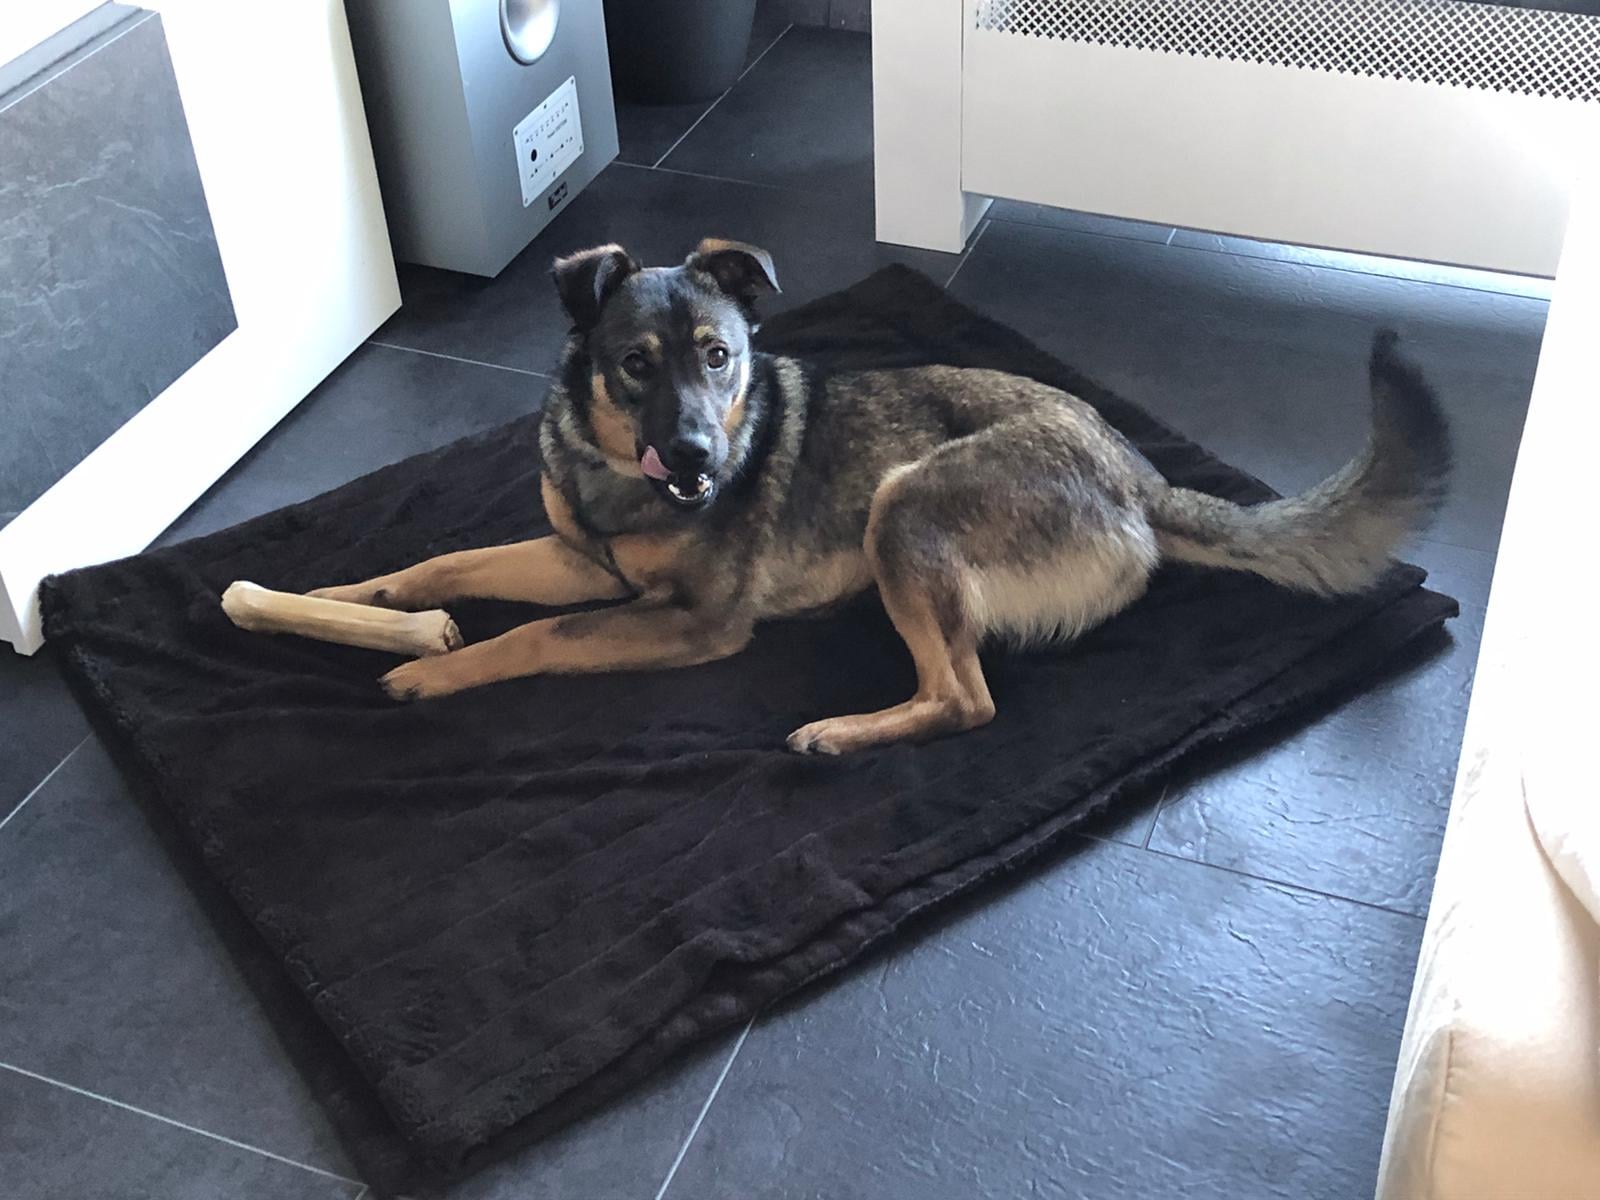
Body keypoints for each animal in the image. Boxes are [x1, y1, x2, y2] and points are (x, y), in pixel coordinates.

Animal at [310, 237, 1450, 754]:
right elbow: (443, 564)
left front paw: (429, 673)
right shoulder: (573, 560)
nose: (698, 462)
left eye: (719, 357)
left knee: (965, 699)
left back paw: (839, 734)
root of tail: (1138, 472)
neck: (613, 468)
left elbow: (534, 636)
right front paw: (356, 601)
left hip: (901, 509)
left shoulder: (691, 623)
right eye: (636, 365)